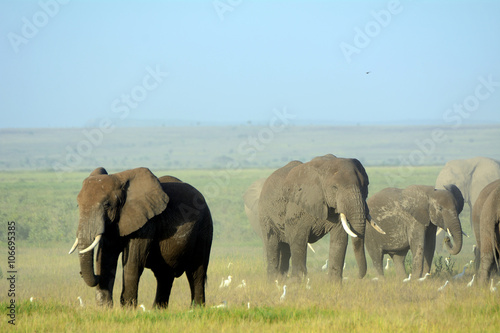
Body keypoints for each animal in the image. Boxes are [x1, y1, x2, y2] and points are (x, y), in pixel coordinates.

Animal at [68, 167, 213, 308]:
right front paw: (104, 309)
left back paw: (196, 309)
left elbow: (134, 260)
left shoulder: (147, 222)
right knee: (164, 275)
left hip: (204, 229)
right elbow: (106, 257)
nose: (81, 273)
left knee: (196, 272)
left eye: (107, 205)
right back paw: (158, 310)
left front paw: (128, 309)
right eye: (77, 205)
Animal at [256, 154, 384, 282]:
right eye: (335, 187)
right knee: (272, 244)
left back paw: (280, 280)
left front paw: (334, 284)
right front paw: (297, 282)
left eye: (365, 185)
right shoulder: (297, 205)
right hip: (264, 214)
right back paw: (273, 281)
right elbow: (298, 239)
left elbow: (340, 240)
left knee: (285, 248)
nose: (358, 276)